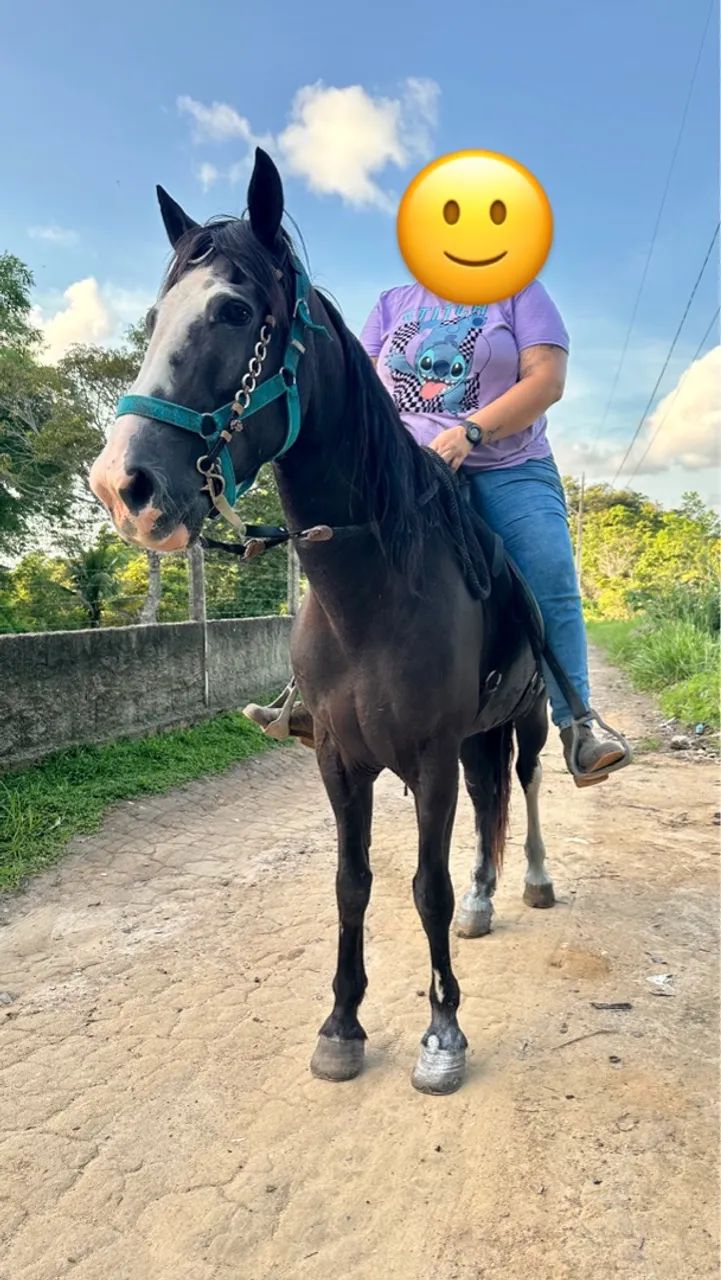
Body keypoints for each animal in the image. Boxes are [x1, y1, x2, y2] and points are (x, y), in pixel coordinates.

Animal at [89, 147, 556, 1095]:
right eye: (157, 319)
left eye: (232, 311)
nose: (123, 486)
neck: (370, 597)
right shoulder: (339, 759)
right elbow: (352, 883)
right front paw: (341, 1023)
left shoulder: (427, 758)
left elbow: (423, 888)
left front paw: (441, 1032)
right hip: (476, 735)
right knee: (490, 796)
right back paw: (488, 896)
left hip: (524, 720)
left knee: (525, 787)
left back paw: (528, 879)